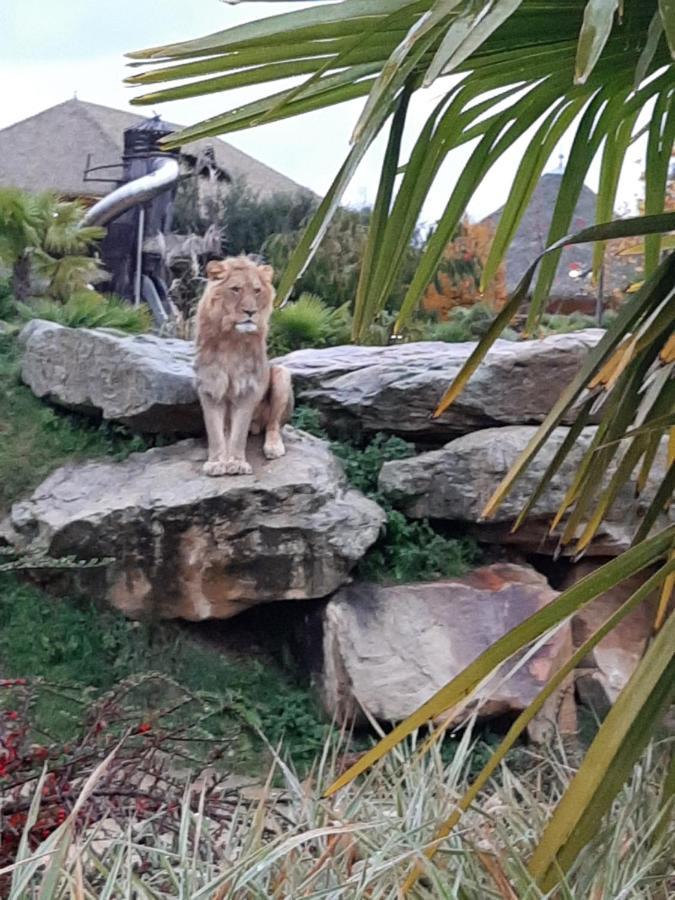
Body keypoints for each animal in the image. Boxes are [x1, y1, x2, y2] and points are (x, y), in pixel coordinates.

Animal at [193, 253, 294, 478]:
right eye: (236, 289)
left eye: (257, 290)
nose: (251, 311)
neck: (232, 339)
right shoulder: (210, 387)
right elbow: (215, 432)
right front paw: (216, 463)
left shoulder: (248, 388)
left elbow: (239, 435)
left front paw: (237, 463)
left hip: (281, 373)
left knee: (273, 425)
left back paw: (273, 446)